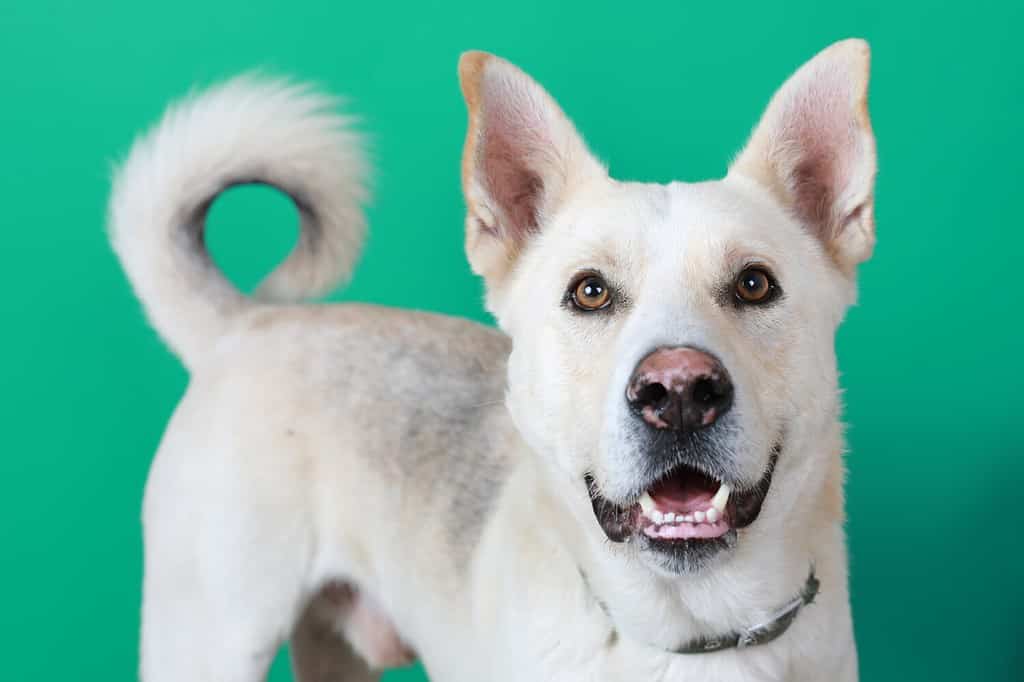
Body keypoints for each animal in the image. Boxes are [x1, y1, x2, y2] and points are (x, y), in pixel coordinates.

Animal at [112, 38, 876, 679]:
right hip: (211, 641)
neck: (692, 636)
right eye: (590, 292)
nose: (679, 391)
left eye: (754, 285)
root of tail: (247, 323)